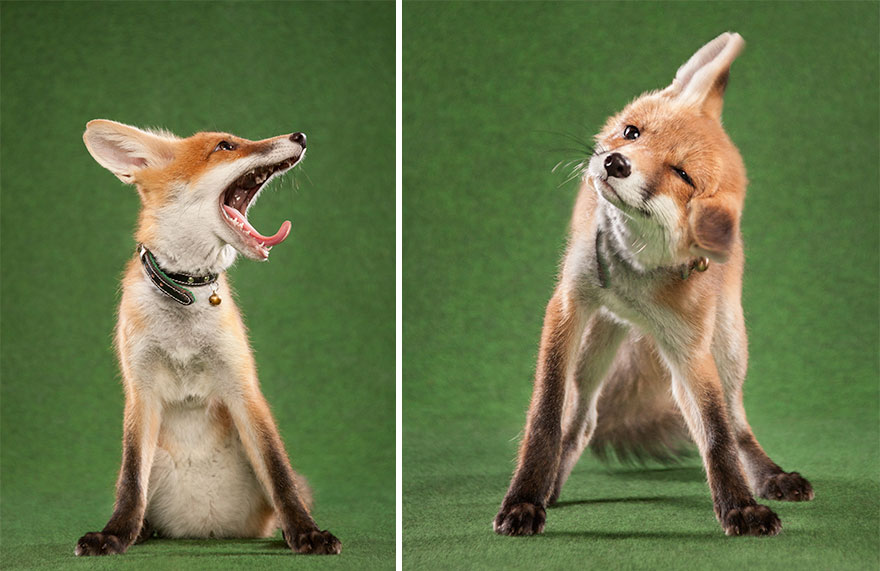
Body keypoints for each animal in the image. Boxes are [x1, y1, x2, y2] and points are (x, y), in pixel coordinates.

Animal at [75, 120, 341, 555]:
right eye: (225, 146)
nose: (300, 137)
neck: (184, 290)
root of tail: (203, 528)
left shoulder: (243, 386)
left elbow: (279, 472)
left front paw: (306, 531)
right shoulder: (140, 391)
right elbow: (131, 481)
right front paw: (115, 534)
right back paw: (143, 529)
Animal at [494, 33, 813, 538]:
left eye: (681, 175)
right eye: (632, 133)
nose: (615, 162)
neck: (634, 275)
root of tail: (631, 316)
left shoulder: (689, 348)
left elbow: (717, 434)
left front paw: (739, 506)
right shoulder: (567, 305)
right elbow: (545, 418)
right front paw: (525, 499)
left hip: (727, 343)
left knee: (736, 419)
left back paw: (770, 475)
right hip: (594, 348)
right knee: (581, 422)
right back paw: (551, 487)